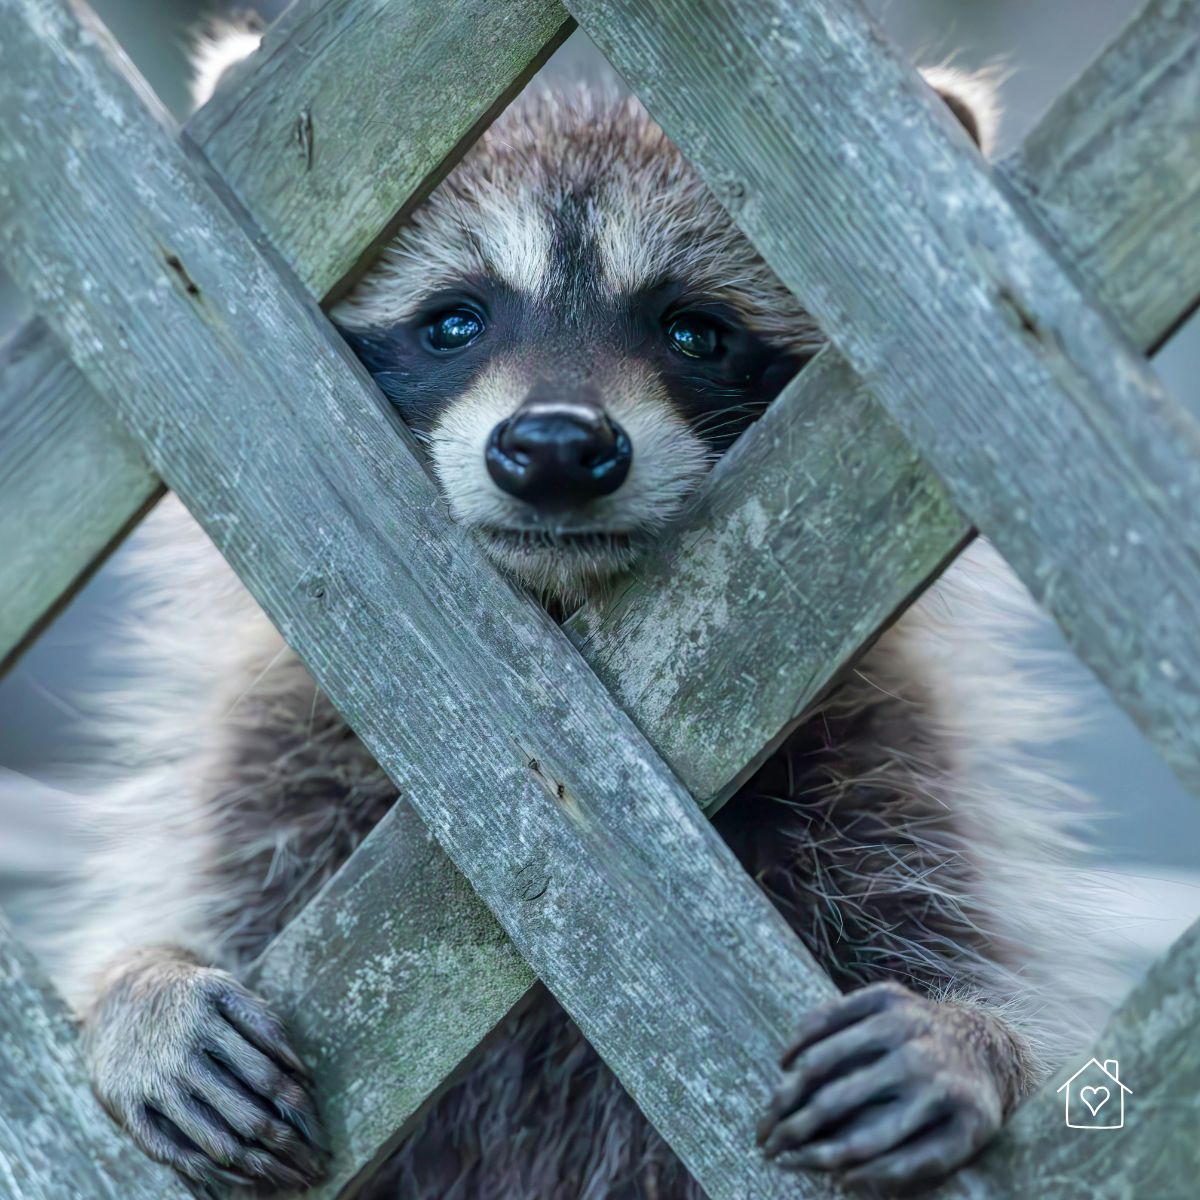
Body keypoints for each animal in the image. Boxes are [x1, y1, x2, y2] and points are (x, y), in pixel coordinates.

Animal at [40, 24, 1106, 1200]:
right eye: (454, 322)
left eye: (696, 333)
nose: (553, 447)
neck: (562, 623)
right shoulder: (278, 775)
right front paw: (144, 990)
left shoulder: (887, 780)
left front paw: (966, 1040)